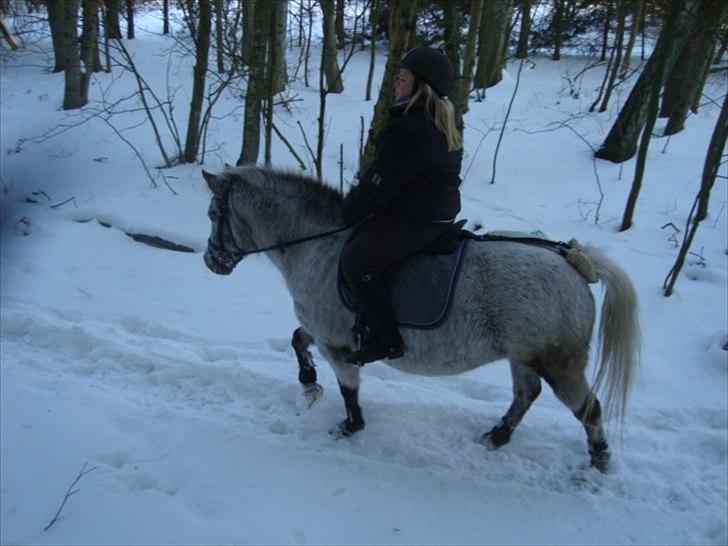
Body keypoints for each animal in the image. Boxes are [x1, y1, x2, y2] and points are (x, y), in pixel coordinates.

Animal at [202, 165, 640, 472]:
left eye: (211, 214)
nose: (211, 261)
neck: (321, 248)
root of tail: (572, 260)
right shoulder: (326, 333)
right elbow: (297, 339)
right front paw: (309, 383)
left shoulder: (336, 344)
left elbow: (348, 388)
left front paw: (349, 426)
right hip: (524, 357)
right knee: (526, 395)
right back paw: (496, 437)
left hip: (558, 362)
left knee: (588, 410)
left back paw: (598, 464)